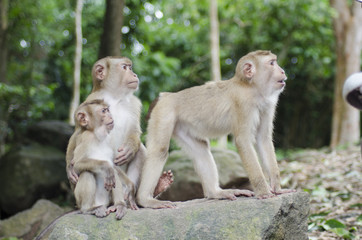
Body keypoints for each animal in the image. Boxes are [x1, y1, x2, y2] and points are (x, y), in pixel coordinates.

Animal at [66, 56, 174, 206]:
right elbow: (78, 132)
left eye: (130, 67)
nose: (134, 74)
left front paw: (130, 149)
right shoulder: (91, 99)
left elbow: (134, 130)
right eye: (124, 67)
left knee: (140, 150)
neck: (115, 97)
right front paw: (69, 169)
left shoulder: (134, 103)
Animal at [137, 49, 296, 208]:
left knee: (201, 149)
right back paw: (145, 199)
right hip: (164, 113)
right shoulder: (243, 103)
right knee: (159, 150)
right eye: (272, 63)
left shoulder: (268, 105)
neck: (251, 87)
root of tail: (167, 96)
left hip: (181, 125)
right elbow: (243, 141)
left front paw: (277, 188)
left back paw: (215, 192)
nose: (282, 71)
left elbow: (263, 139)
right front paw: (263, 192)